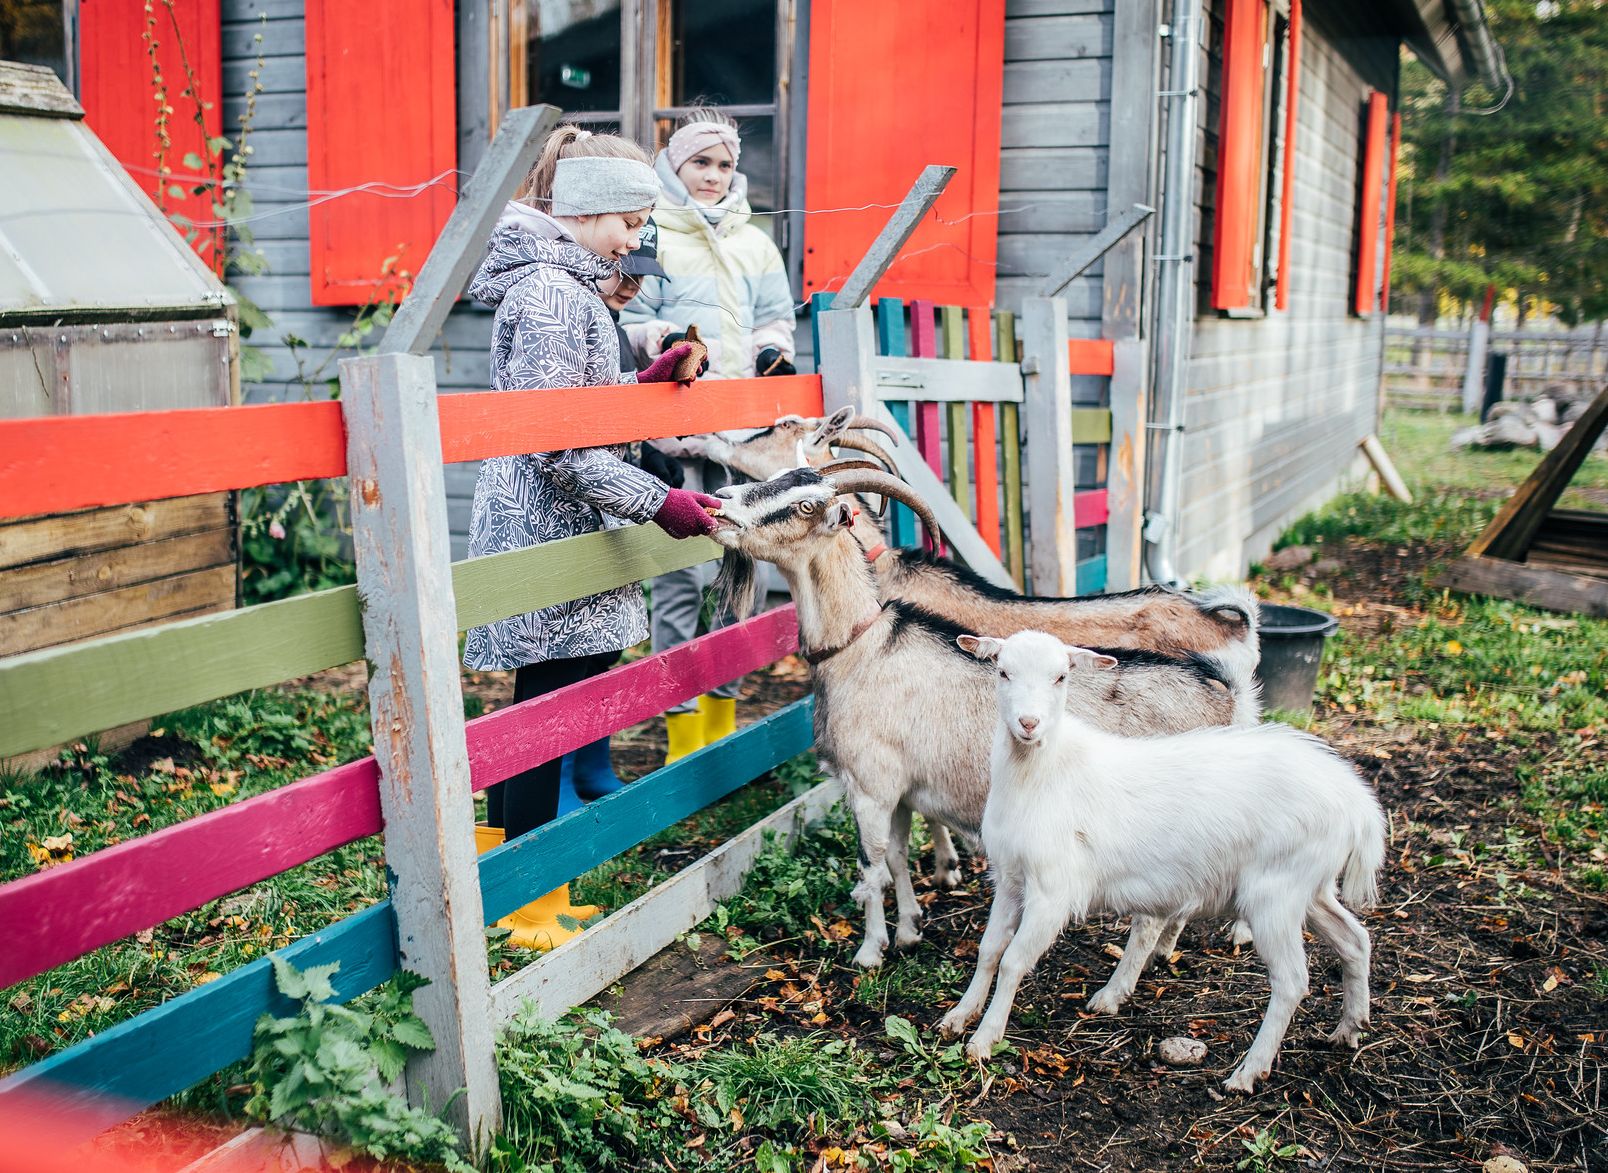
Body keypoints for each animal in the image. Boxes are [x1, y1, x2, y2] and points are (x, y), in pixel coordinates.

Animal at [939, 627, 1382, 1094]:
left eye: (1061, 676)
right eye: (1003, 672)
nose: (1028, 723)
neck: (1045, 772)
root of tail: (1357, 804)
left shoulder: (1052, 891)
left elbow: (1013, 961)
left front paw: (985, 1039)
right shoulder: (1009, 878)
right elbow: (989, 950)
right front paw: (959, 1016)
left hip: (1276, 892)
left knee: (1293, 980)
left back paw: (1248, 1071)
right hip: (1311, 887)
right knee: (1354, 940)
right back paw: (1350, 1028)